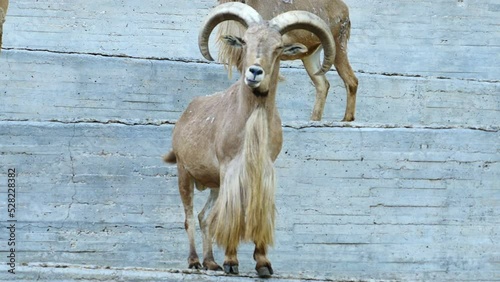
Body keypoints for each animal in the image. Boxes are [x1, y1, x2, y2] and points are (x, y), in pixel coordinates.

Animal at [165, 2, 336, 278]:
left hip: (213, 184)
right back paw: (194, 261)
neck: (250, 121)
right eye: (245, 41)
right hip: (184, 172)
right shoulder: (230, 168)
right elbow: (232, 213)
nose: (254, 72)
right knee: (190, 217)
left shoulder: (262, 169)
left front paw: (263, 264)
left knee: (204, 217)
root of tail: (186, 113)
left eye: (278, 47)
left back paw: (210, 262)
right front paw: (231, 261)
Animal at [217, 0, 358, 121]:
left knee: (351, 80)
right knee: (323, 84)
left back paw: (347, 119)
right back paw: (314, 120)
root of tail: (344, 10)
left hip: (338, 45)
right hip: (310, 56)